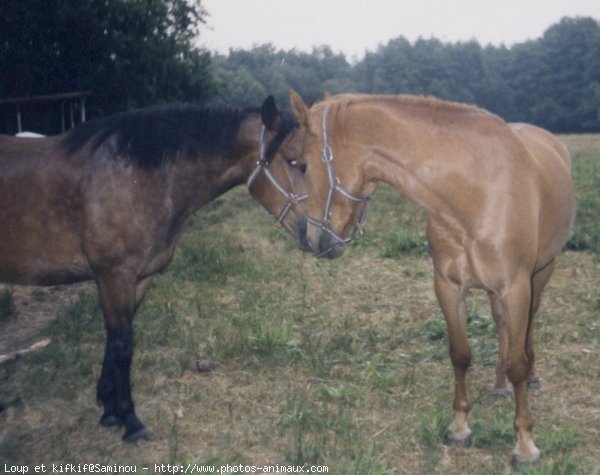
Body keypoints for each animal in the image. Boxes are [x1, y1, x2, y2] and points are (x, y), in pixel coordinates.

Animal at [0, 96, 308, 442]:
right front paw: (130, 421)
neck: (138, 177)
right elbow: (123, 345)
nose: (320, 237)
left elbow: (116, 341)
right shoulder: (114, 276)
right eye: (295, 162)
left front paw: (109, 410)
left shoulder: (139, 278)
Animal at [290, 92, 576, 464]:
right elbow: (460, 355)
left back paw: (532, 377)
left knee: (528, 329)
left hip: (541, 274)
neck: (474, 192)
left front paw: (525, 444)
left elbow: (517, 362)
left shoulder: (516, 287)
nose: (310, 239)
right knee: (501, 325)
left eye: (302, 165)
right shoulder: (448, 287)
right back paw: (499, 386)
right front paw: (460, 428)